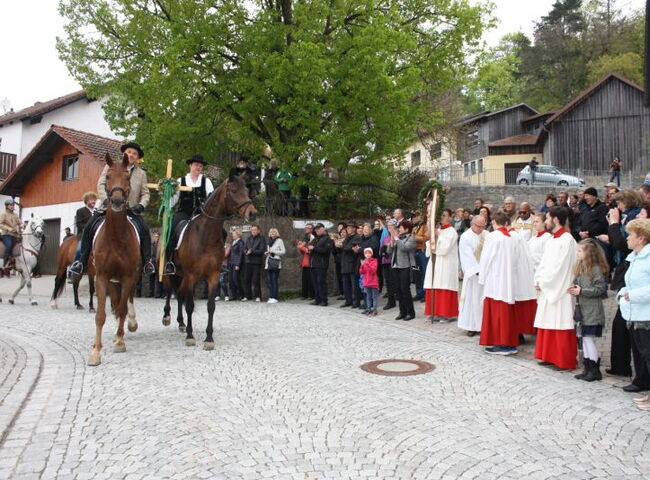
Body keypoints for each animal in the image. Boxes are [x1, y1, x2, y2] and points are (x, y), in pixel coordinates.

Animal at [162, 172, 256, 348]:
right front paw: (190, 336)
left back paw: (181, 323)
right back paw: (167, 317)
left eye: (247, 190)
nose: (252, 213)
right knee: (169, 291)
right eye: (233, 190)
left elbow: (211, 306)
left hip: (183, 276)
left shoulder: (213, 276)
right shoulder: (191, 275)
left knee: (179, 295)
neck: (206, 235)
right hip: (171, 273)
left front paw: (209, 338)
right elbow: (190, 305)